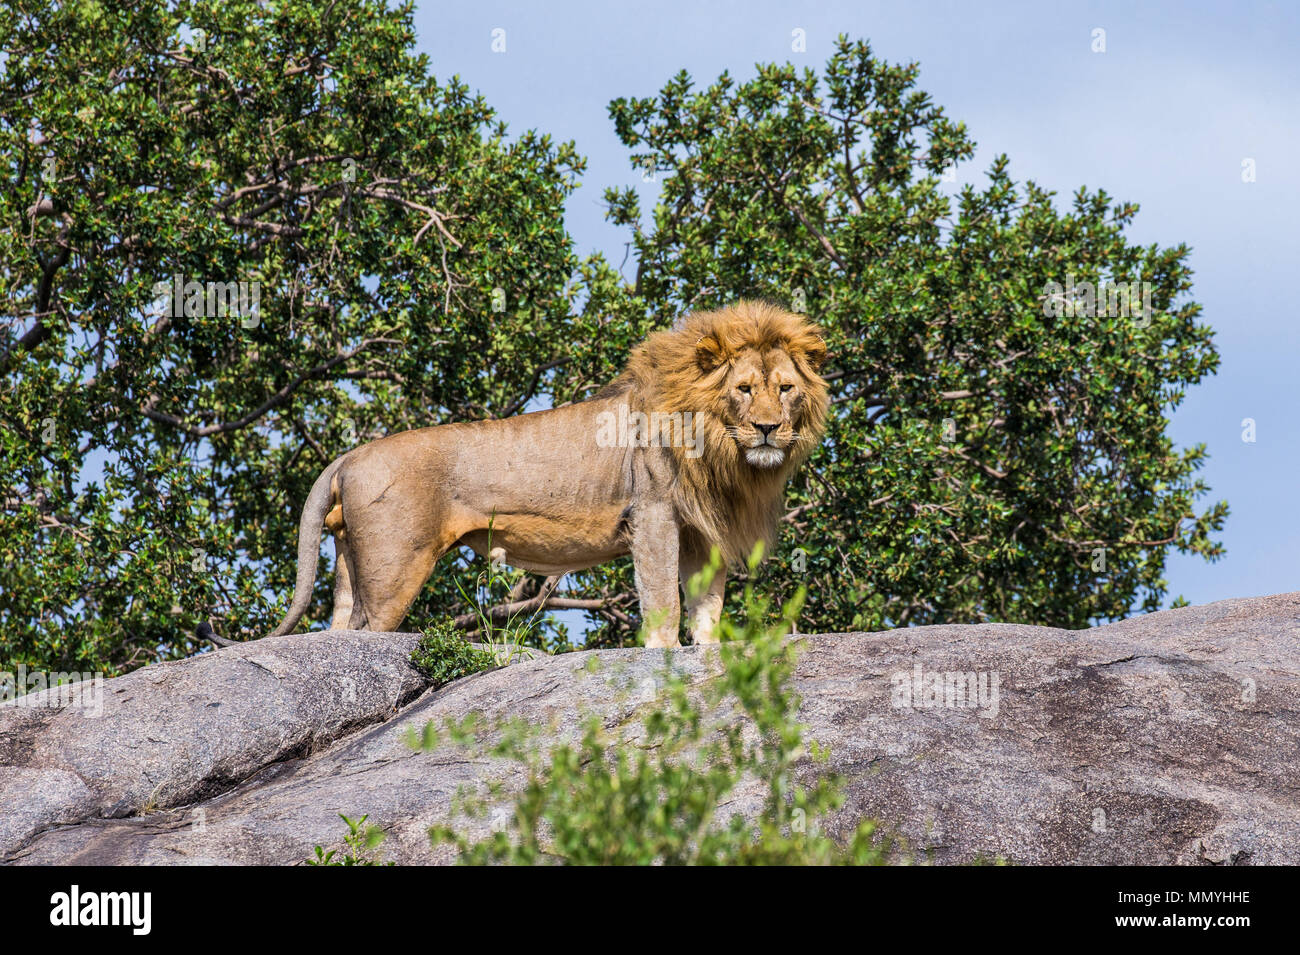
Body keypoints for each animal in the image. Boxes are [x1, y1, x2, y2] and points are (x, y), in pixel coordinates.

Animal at [267, 302, 826, 647]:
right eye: (744, 389)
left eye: (786, 388)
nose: (768, 429)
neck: (721, 453)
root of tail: (350, 456)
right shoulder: (652, 514)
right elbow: (663, 599)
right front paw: (662, 654)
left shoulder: (701, 530)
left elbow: (706, 604)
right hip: (394, 568)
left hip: (349, 560)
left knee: (340, 628)